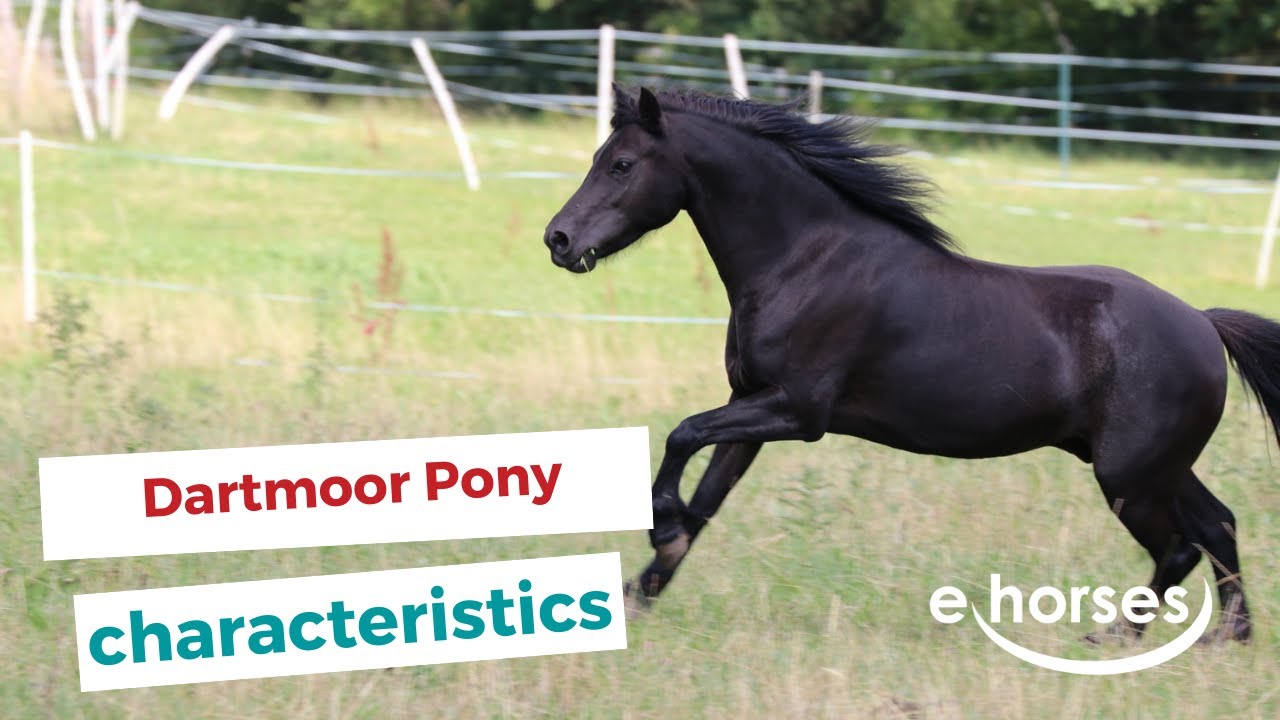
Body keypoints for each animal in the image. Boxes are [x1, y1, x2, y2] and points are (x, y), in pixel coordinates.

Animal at [543, 85, 1280, 643]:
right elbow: (706, 500)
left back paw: (1114, 637)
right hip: (1153, 467)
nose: (559, 239)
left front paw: (658, 524)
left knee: (1181, 546)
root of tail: (1204, 324)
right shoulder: (751, 409)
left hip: (1129, 474)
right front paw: (641, 591)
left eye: (622, 165)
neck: (805, 259)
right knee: (1218, 525)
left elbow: (681, 436)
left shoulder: (796, 411)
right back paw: (1227, 640)